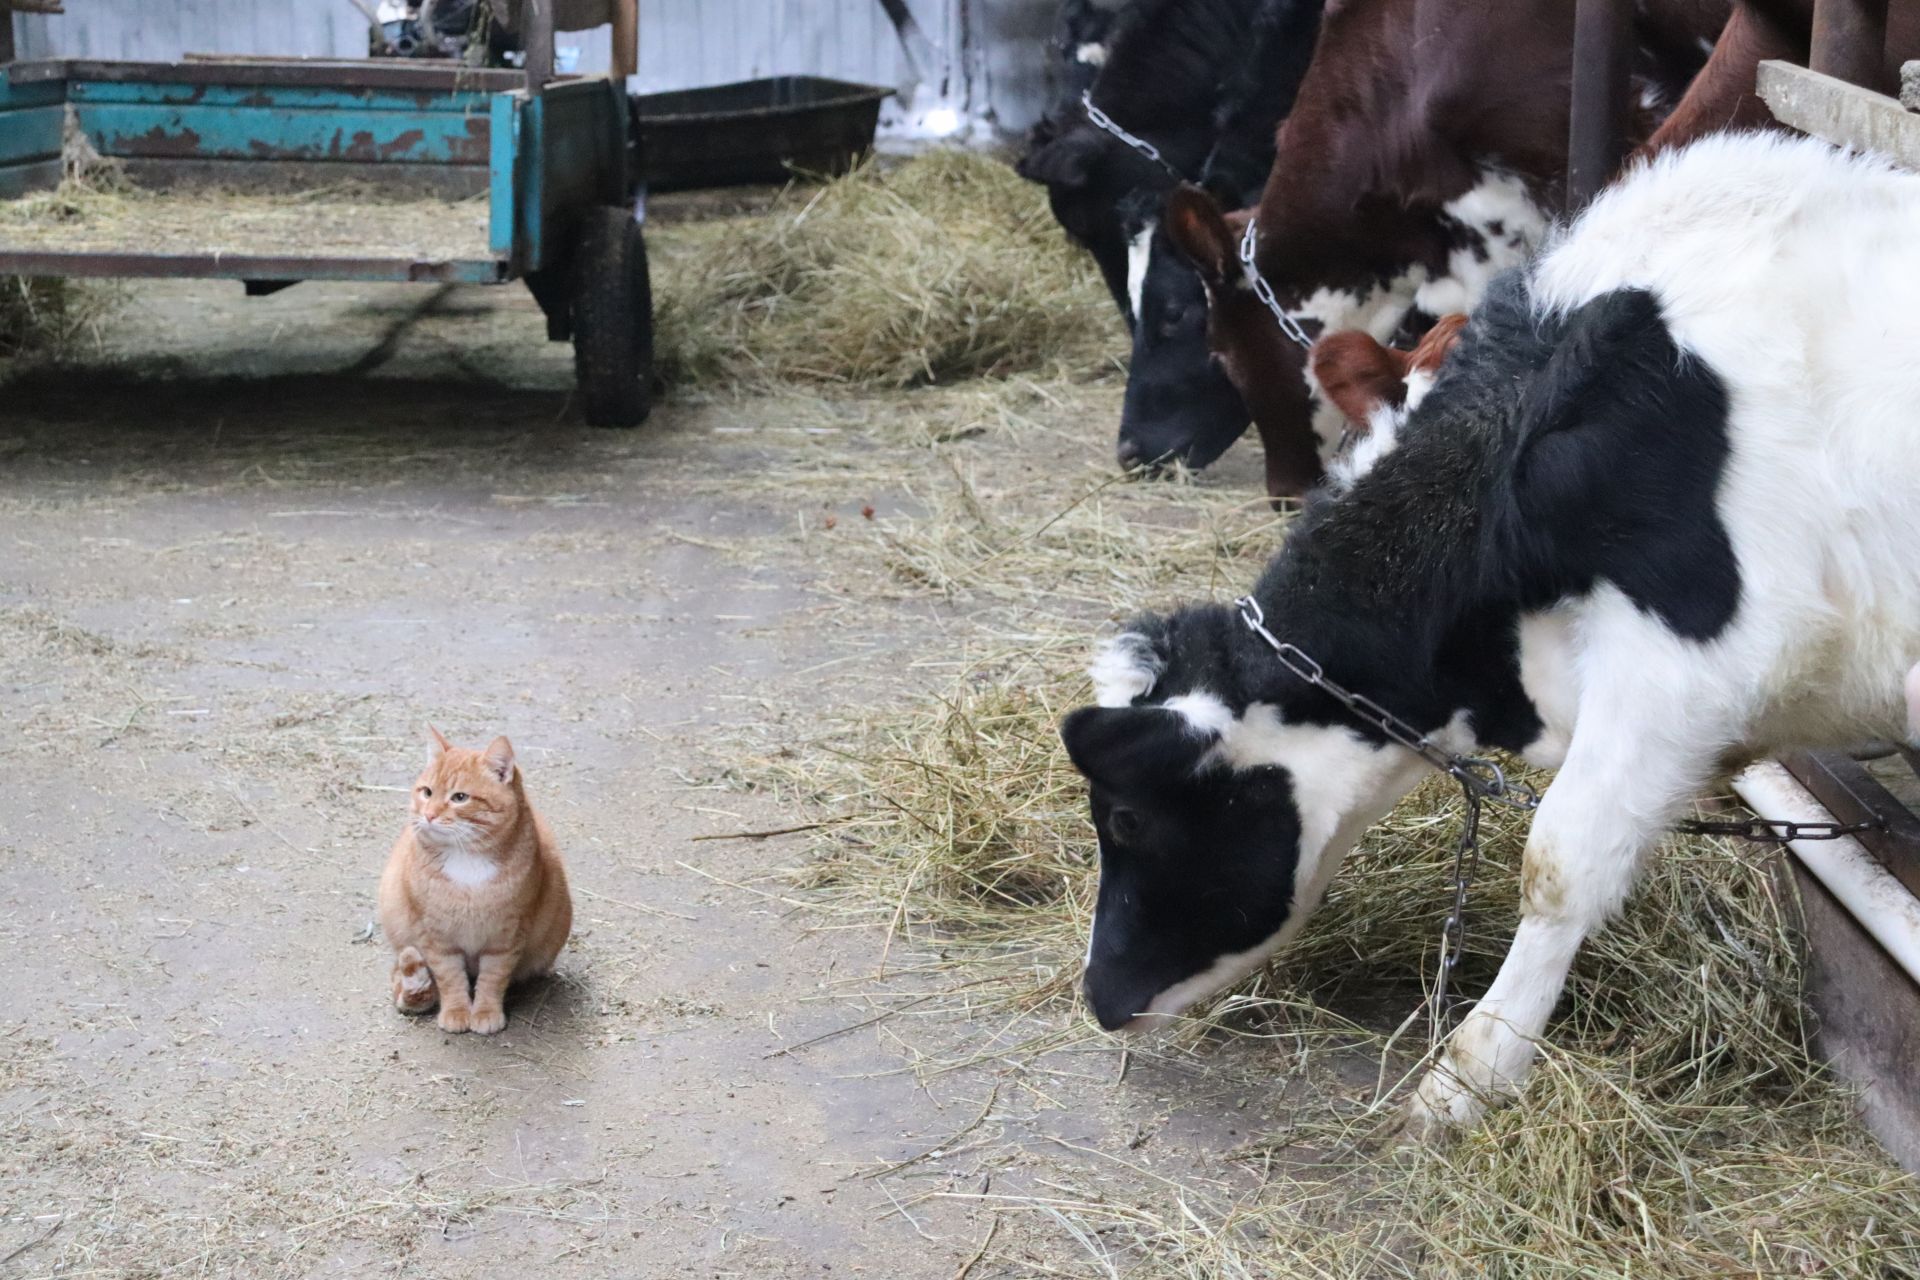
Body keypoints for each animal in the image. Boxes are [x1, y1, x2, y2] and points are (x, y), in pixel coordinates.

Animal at [378, 725, 572, 1036]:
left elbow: (492, 979)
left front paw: (485, 1012)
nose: (428, 814)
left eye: (460, 798)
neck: (466, 860)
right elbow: (450, 978)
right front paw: (457, 1011)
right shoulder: (436, 937)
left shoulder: (506, 937)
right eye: (427, 792)